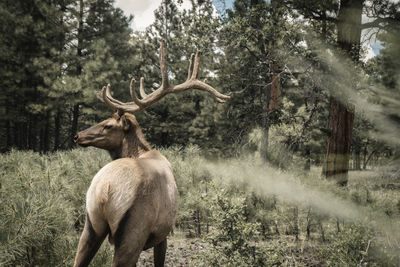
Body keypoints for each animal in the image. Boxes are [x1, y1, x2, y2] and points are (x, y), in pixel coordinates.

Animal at [72, 40, 228, 267]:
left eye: (108, 125)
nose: (77, 136)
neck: (142, 152)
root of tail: (104, 190)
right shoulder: (163, 233)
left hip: (91, 224)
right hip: (134, 231)